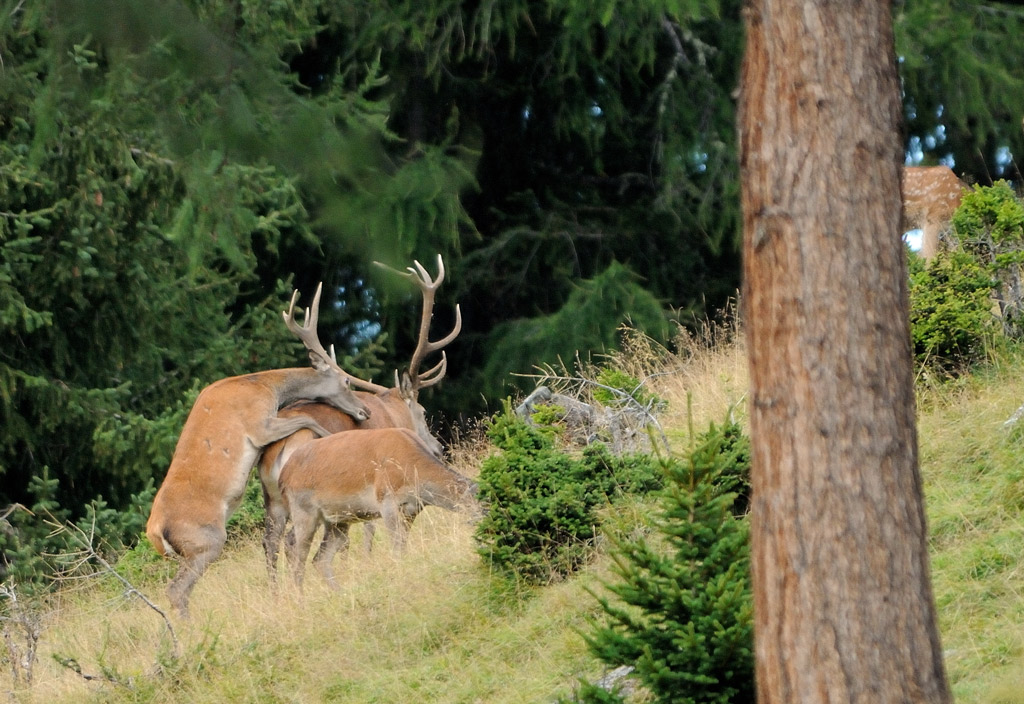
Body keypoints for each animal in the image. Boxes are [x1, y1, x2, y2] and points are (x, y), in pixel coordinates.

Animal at [146, 283, 372, 618]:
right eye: (345, 379)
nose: (364, 411)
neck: (266, 387)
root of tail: (155, 533)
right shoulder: (259, 424)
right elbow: (306, 419)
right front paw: (331, 434)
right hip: (207, 540)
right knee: (177, 590)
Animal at [259, 254, 462, 581]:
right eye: (422, 412)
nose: (438, 448)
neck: (391, 414)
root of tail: (281, 447)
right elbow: (370, 529)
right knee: (293, 542)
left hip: (274, 500)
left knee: (270, 543)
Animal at [279, 427, 478, 589]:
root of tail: (283, 475)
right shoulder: (387, 501)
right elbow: (396, 547)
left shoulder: (412, 510)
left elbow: (402, 546)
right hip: (304, 511)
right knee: (298, 557)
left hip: (338, 520)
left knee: (320, 560)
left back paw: (343, 593)